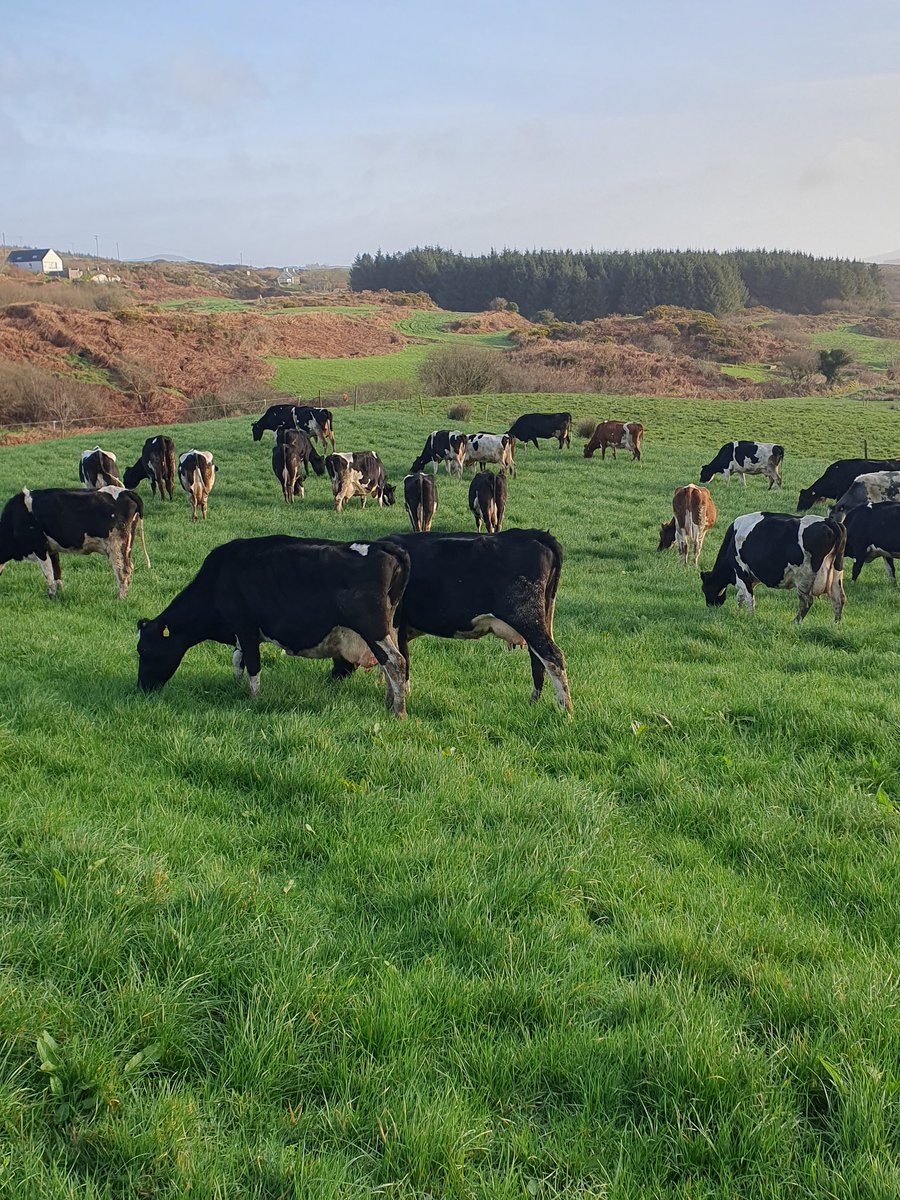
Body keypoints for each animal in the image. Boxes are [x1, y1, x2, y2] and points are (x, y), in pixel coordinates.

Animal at [0, 486, 149, 600]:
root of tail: (127, 492)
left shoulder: (39, 547)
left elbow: (48, 573)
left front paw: (51, 596)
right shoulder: (52, 548)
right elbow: (57, 572)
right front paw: (60, 593)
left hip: (116, 545)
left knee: (123, 570)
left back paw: (120, 598)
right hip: (127, 545)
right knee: (130, 568)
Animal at [136, 536, 410, 716]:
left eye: (145, 650)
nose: (142, 688)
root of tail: (383, 546)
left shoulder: (246, 627)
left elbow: (253, 665)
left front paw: (254, 699)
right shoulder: (241, 635)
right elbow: (238, 661)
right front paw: (236, 686)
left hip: (373, 629)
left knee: (395, 662)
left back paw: (398, 712)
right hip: (390, 628)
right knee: (391, 665)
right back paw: (390, 703)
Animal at [351, 530, 572, 711]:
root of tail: (535, 534)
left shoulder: (397, 624)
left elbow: (397, 661)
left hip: (527, 618)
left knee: (553, 657)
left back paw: (565, 709)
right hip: (541, 619)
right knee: (539, 660)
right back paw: (533, 703)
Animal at [701, 512, 846, 623]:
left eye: (704, 589)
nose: (709, 606)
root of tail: (829, 521)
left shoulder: (741, 572)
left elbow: (749, 597)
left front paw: (750, 617)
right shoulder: (751, 577)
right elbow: (741, 596)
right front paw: (738, 612)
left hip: (804, 577)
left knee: (806, 602)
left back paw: (795, 623)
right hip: (836, 573)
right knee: (839, 599)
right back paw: (835, 625)